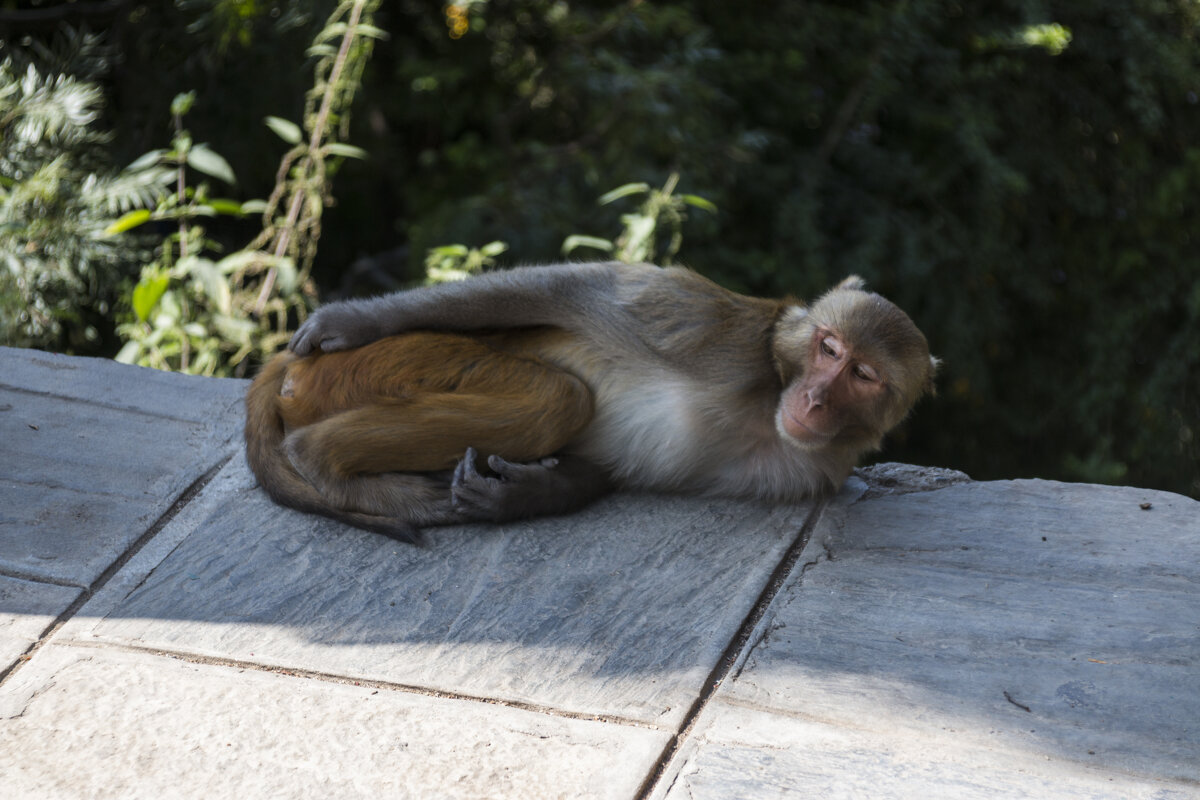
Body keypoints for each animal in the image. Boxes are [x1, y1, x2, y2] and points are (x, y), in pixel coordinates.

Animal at [253, 262, 940, 544]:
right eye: (829, 348)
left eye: (864, 374)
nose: (818, 397)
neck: (770, 395)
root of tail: (284, 371)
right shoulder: (715, 332)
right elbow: (568, 290)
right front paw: (349, 318)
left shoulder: (807, 472)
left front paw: (517, 498)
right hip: (385, 365)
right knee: (559, 397)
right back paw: (324, 460)